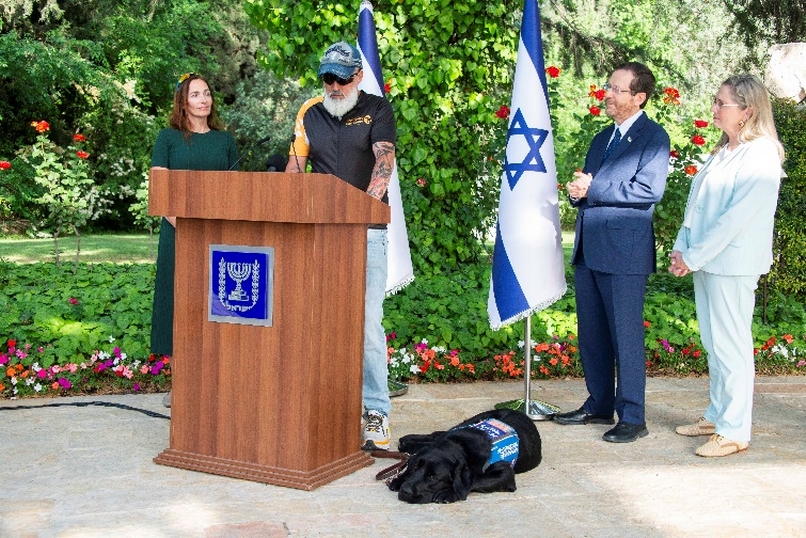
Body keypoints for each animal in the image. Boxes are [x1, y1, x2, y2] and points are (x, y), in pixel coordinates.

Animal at [390, 406, 544, 502]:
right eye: (416, 468)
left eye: (432, 476)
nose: (405, 491)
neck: (461, 446)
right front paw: (400, 478)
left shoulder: (506, 473)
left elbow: (476, 479)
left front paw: (450, 493)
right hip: (470, 421)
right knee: (437, 434)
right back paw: (408, 442)